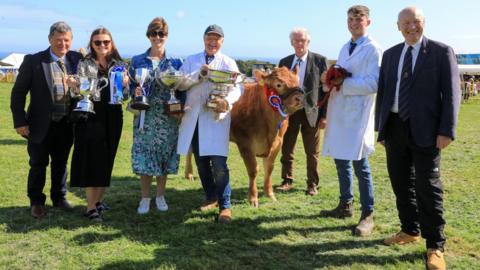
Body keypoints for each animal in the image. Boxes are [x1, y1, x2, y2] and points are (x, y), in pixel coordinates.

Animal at [185, 67, 302, 207]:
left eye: (297, 81)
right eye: (279, 84)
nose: (300, 97)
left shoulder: (278, 143)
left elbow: (269, 168)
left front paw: (270, 194)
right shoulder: (245, 144)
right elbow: (253, 170)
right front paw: (253, 198)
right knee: (189, 150)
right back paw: (189, 174)